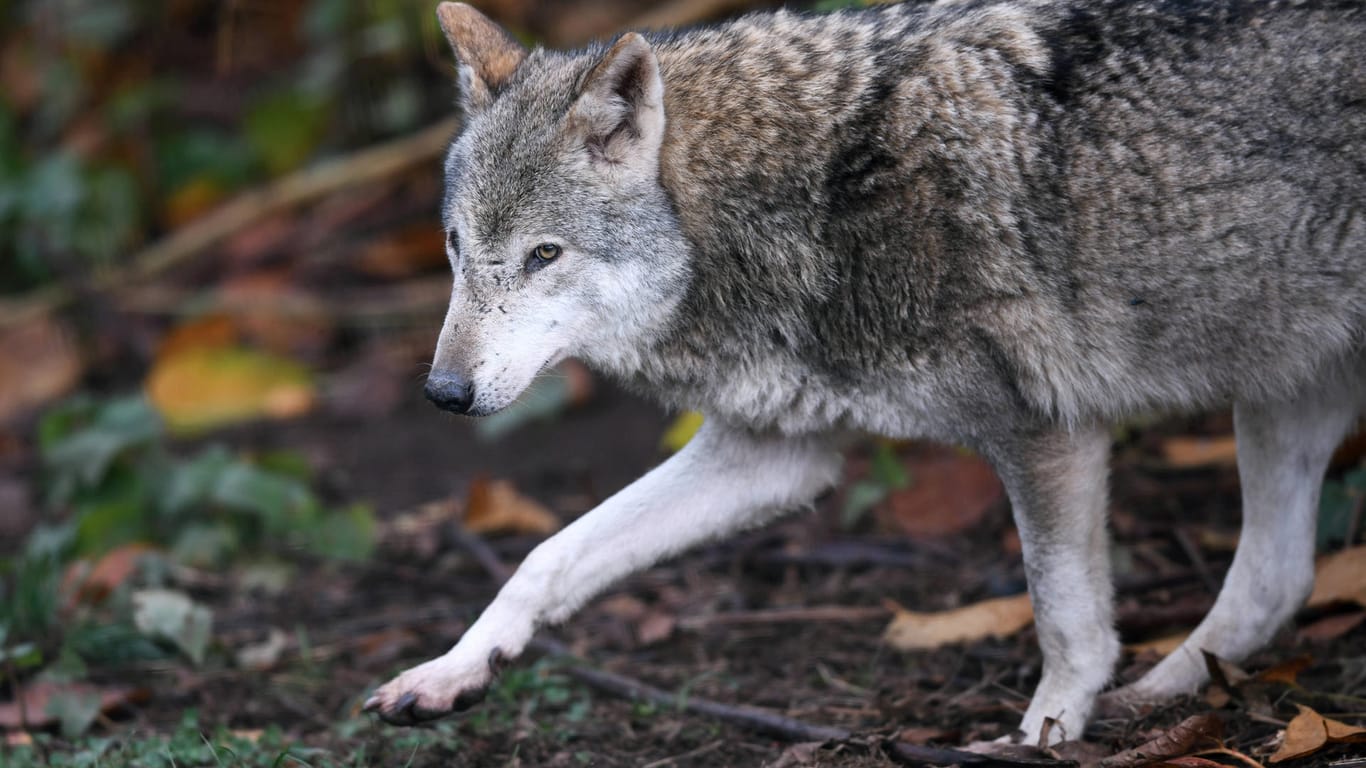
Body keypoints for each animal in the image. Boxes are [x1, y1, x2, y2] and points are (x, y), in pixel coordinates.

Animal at [363, 0, 1366, 743]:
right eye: (454, 248)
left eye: (544, 255)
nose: (443, 394)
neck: (798, 205)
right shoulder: (771, 457)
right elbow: (546, 557)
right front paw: (454, 669)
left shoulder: (1045, 431)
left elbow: (1064, 617)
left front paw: (1039, 735)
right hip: (1284, 393)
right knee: (1279, 576)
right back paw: (1165, 694)